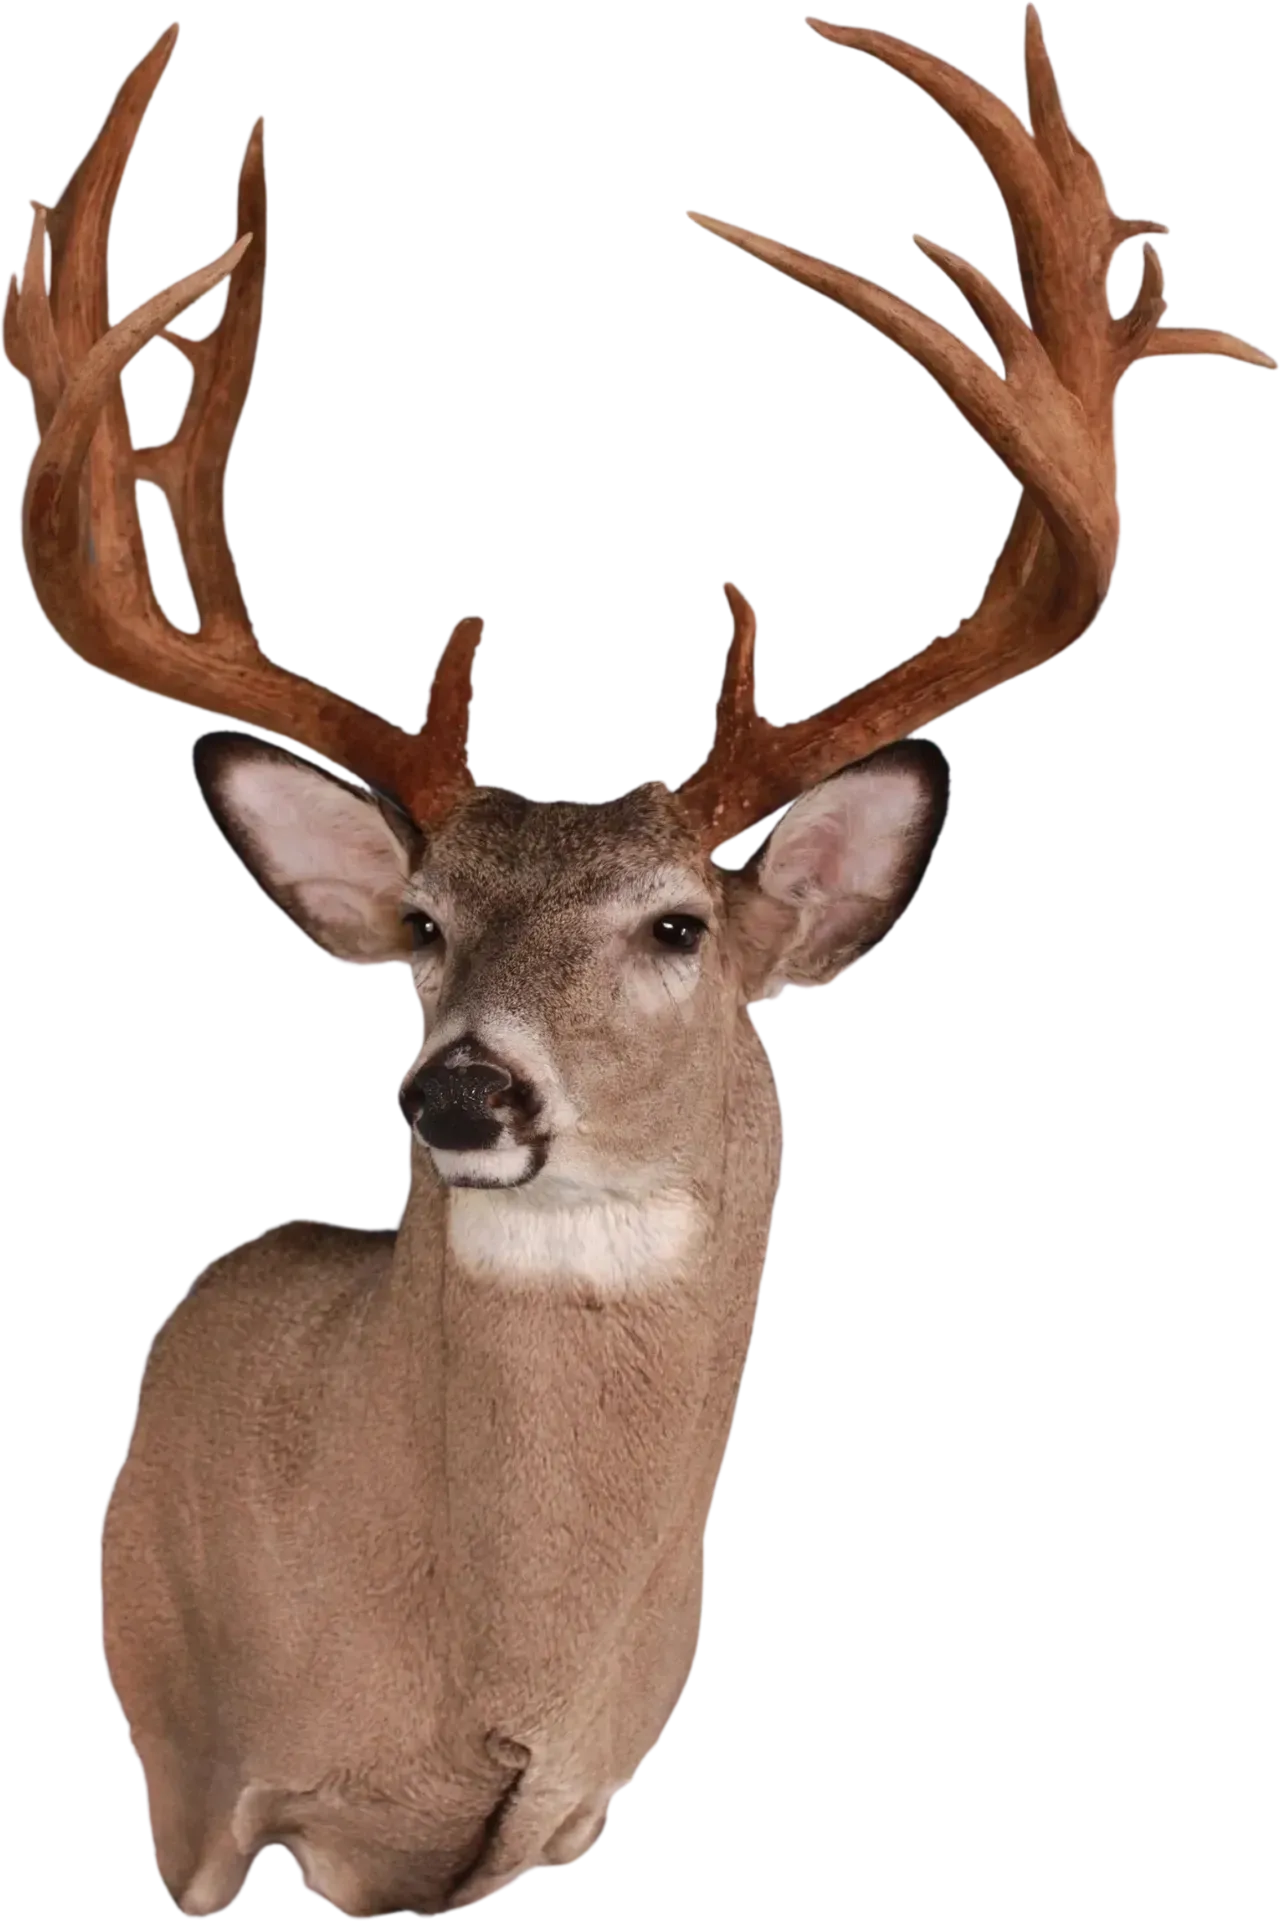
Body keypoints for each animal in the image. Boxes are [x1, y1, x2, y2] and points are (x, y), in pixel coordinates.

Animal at [7, 7, 1272, 1918]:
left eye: (677, 924)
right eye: (425, 924)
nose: (462, 1089)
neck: (484, 1665)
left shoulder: (563, 1816)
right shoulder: (242, 1782)